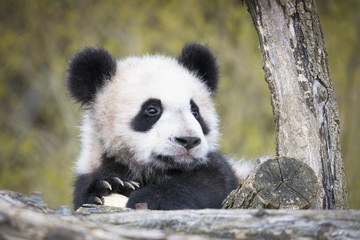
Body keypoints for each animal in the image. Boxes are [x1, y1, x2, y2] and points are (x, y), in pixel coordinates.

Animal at [67, 43, 240, 210]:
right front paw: (111, 185)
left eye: (195, 111)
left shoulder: (219, 169)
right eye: (152, 110)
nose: (188, 140)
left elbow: (210, 183)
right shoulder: (92, 168)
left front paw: (152, 198)